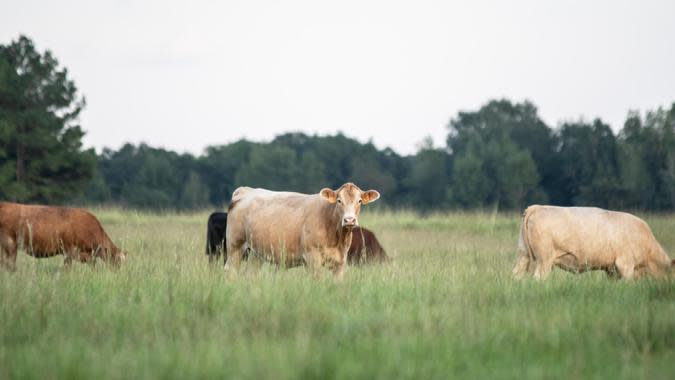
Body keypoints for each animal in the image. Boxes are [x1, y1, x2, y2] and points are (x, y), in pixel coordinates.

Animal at [224, 183, 378, 278]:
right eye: (339, 201)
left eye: (359, 201)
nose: (349, 220)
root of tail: (246, 190)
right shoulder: (313, 258)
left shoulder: (340, 262)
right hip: (235, 246)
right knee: (230, 271)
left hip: (256, 252)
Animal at [516, 205, 672, 280]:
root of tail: (536, 207)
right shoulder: (626, 264)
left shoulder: (611, 270)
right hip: (545, 260)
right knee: (538, 278)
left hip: (523, 254)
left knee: (516, 275)